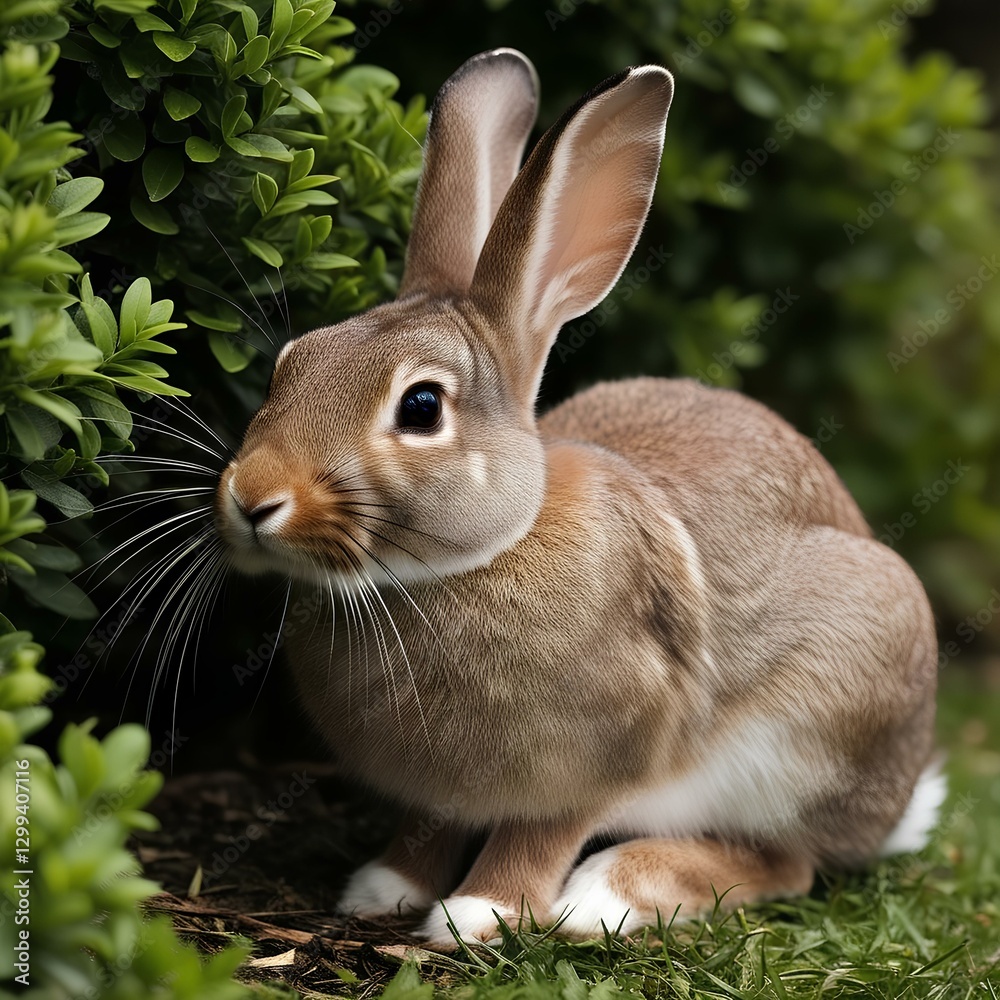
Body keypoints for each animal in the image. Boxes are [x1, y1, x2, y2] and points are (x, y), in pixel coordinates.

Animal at [214, 48, 944, 947]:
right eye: (290, 363)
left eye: (420, 408)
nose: (252, 498)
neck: (474, 558)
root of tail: (895, 803)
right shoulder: (439, 794)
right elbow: (427, 828)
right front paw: (384, 889)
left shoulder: (602, 761)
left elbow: (541, 834)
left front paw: (477, 914)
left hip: (804, 736)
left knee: (787, 864)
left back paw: (606, 895)